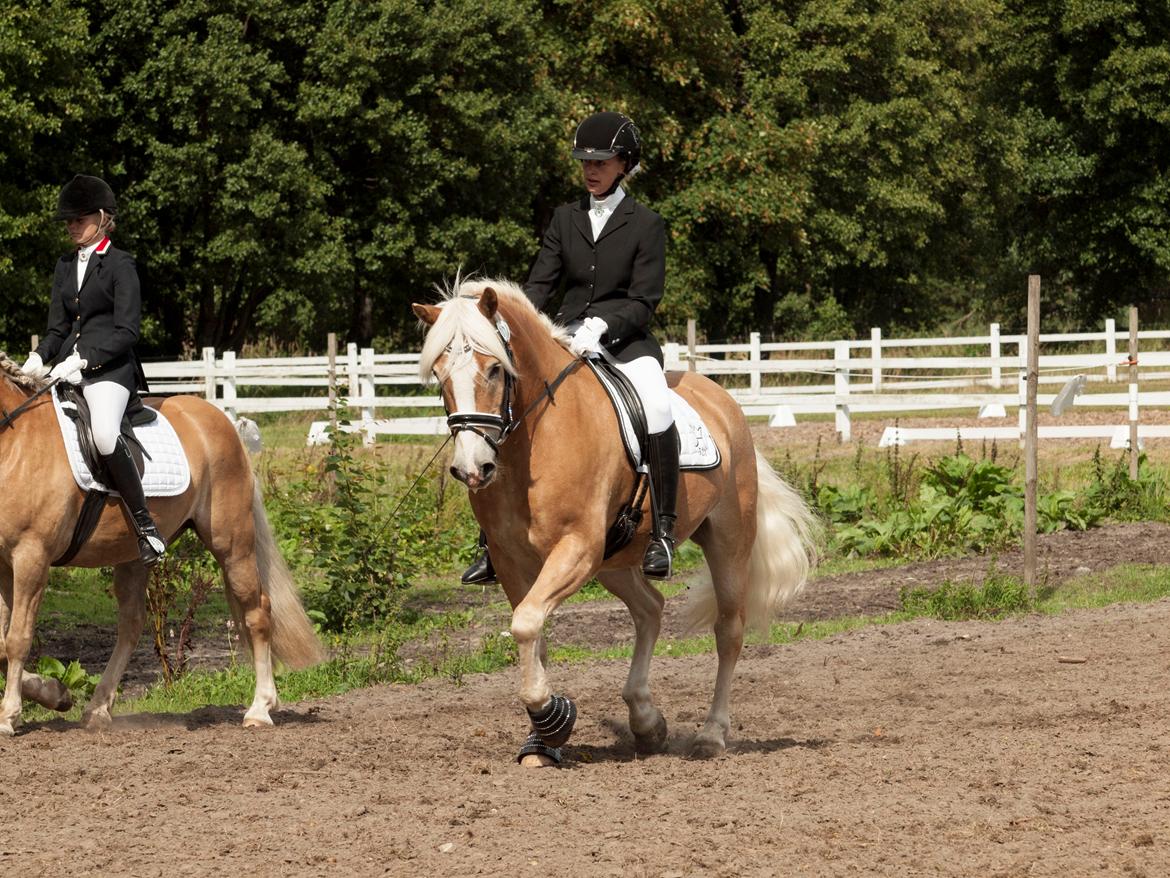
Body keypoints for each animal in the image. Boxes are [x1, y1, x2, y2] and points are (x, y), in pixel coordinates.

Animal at [0, 353, 325, 739]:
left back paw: (260, 708)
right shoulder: (3, 563)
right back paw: (98, 708)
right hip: (132, 554)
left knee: (257, 610)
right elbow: (1, 643)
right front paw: (55, 693)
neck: (13, 446)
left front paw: (9, 715)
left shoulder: (32, 555)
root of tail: (222, 419)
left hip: (232, 543)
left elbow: (17, 638)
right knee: (132, 624)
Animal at [416, 278, 819, 767]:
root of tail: (723, 401)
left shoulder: (577, 548)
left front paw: (553, 718)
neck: (536, 441)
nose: (473, 469)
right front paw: (541, 741)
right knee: (650, 608)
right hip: (616, 559)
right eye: (440, 374)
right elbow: (533, 632)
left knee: (728, 631)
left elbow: (527, 624)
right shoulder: (513, 561)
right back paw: (646, 721)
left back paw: (710, 735)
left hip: (728, 542)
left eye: (495, 369)